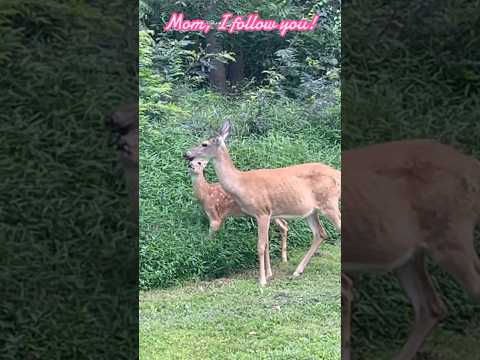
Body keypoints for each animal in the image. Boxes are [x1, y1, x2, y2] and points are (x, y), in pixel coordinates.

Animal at [184, 122, 342, 286]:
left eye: (204, 144)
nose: (186, 154)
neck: (241, 183)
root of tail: (338, 174)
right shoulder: (259, 215)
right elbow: (265, 244)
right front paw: (268, 275)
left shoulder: (263, 212)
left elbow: (260, 246)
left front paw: (262, 280)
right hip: (311, 211)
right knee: (320, 233)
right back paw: (297, 271)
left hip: (329, 202)